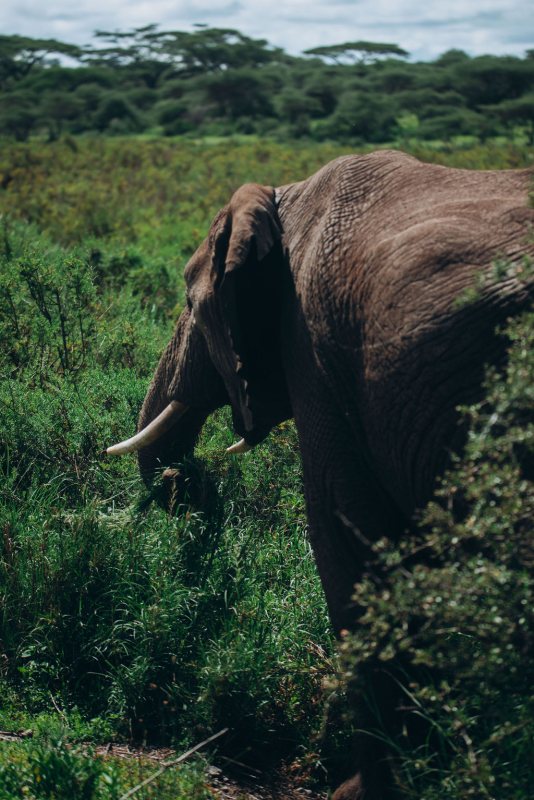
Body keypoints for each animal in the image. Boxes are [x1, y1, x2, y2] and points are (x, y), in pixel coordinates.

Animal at [107, 150, 533, 798]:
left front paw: (358, 792)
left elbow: (346, 538)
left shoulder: (312, 350)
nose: (193, 480)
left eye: (188, 301)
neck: (284, 198)